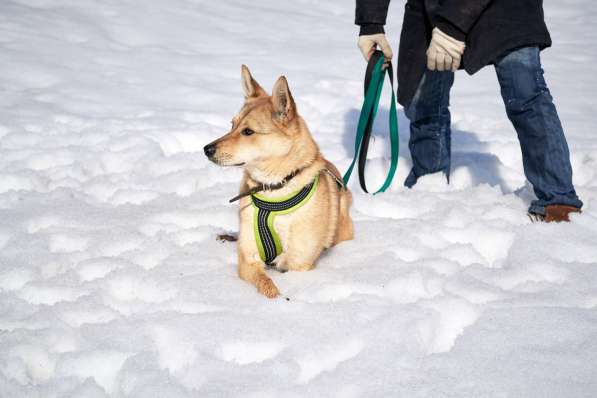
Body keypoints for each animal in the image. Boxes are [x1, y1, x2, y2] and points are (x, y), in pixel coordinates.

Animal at [205, 65, 354, 296]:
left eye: (248, 131)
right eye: (232, 125)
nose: (207, 149)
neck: (274, 190)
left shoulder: (299, 263)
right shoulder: (248, 259)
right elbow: (264, 282)